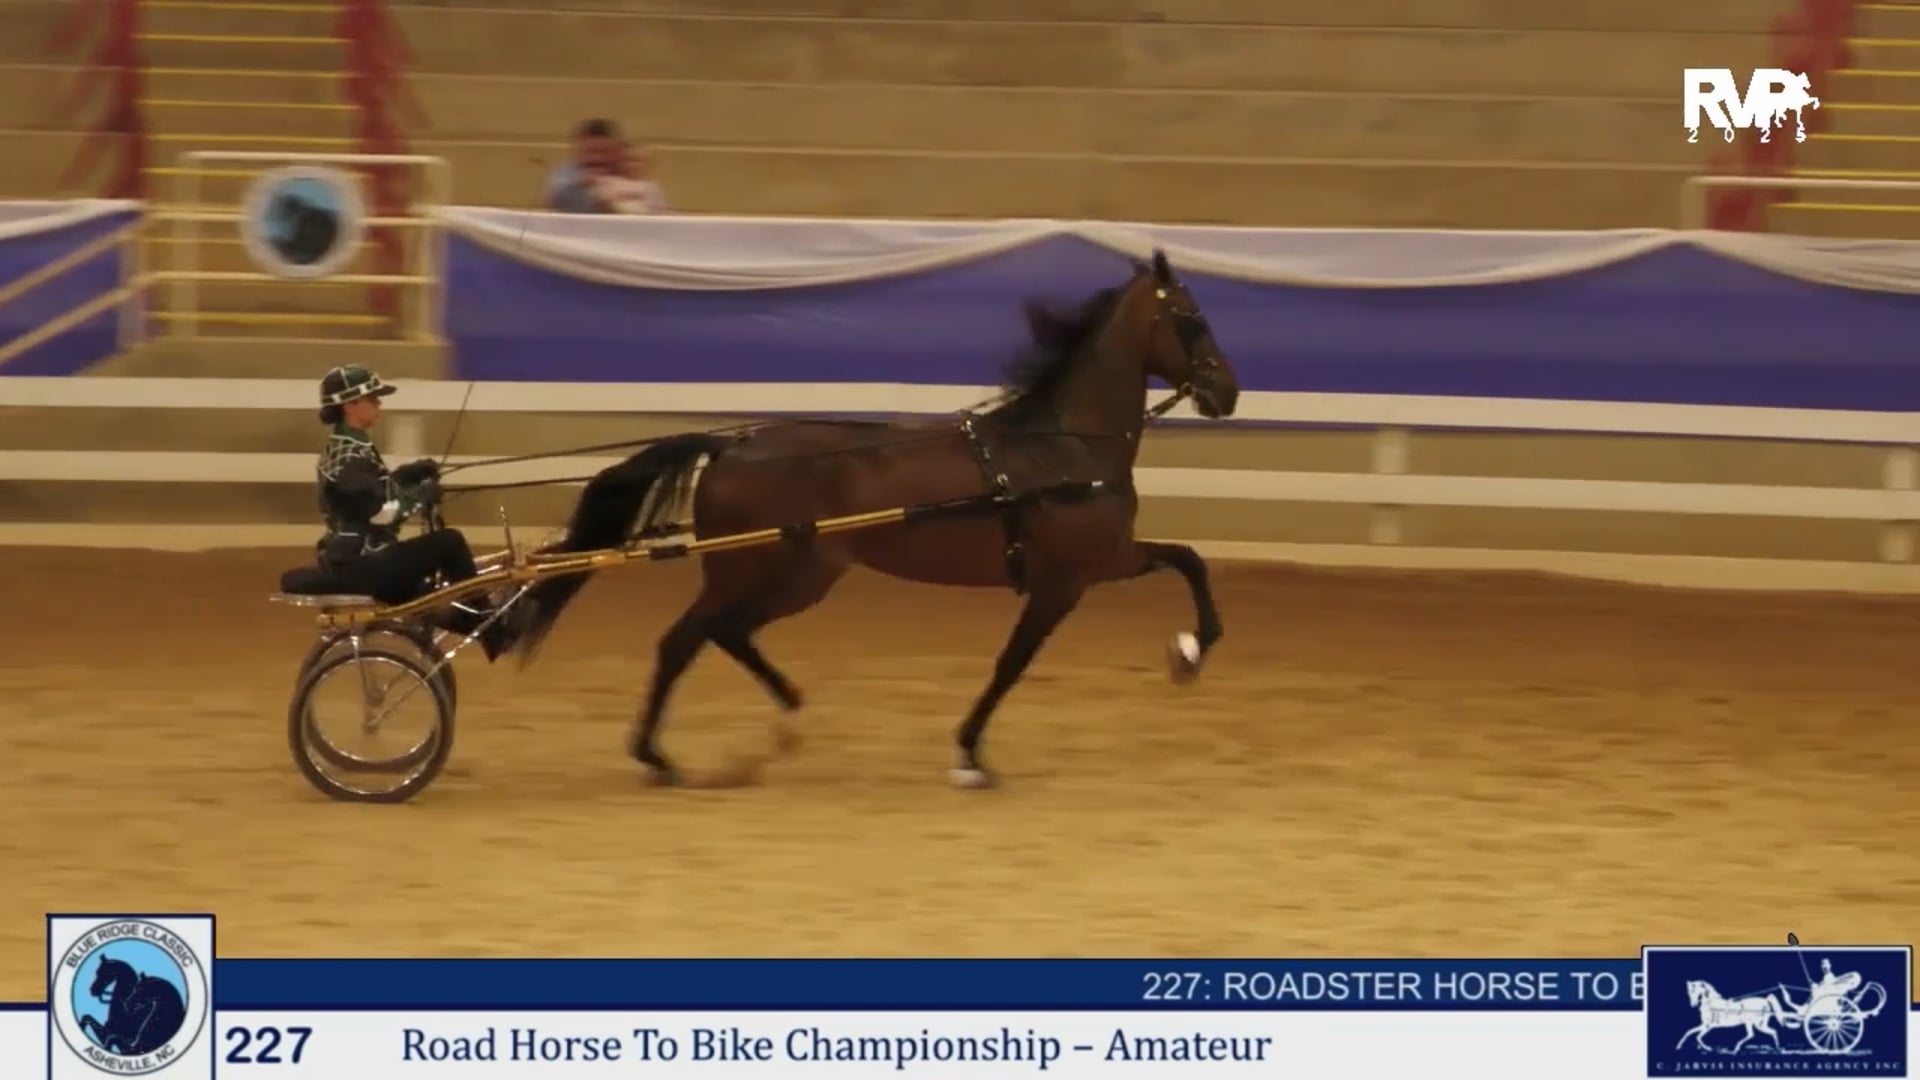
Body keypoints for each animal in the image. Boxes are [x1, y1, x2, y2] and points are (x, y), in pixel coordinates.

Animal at [508, 248, 1240, 789]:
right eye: (1193, 317)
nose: (1226, 392)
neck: (1063, 447)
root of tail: (733, 446)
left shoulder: (1103, 562)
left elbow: (1186, 558)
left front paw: (1190, 649)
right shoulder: (1067, 581)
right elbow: (1013, 664)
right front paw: (970, 754)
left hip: (797, 576)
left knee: (726, 634)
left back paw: (784, 724)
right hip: (760, 572)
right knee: (685, 639)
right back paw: (657, 756)